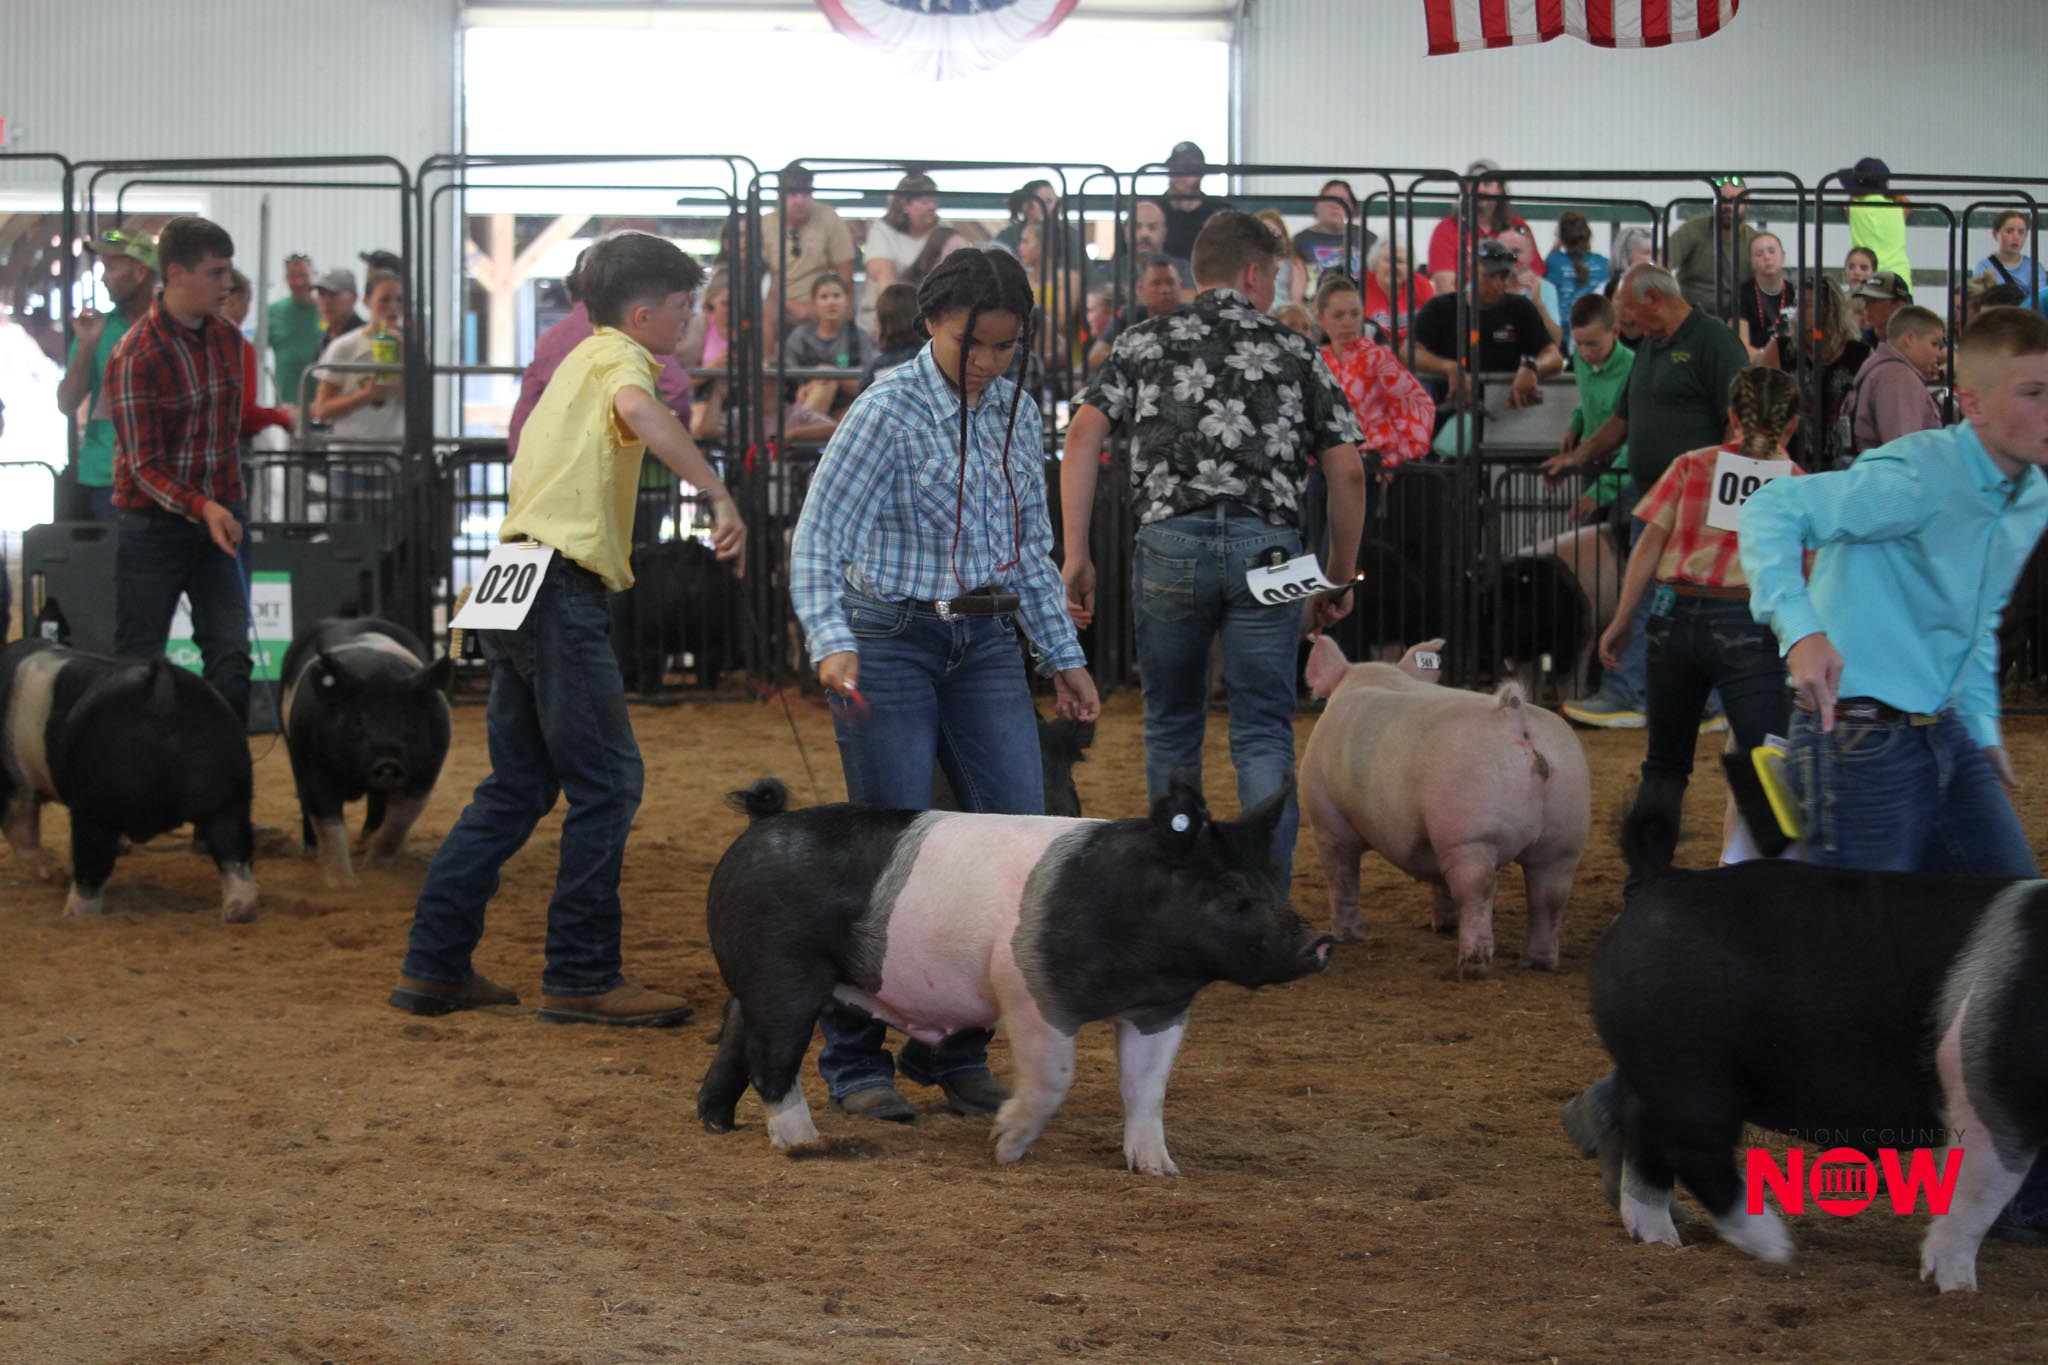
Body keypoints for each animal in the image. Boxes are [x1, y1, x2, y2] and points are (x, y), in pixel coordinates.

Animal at [0, 639, 257, 921]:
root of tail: (162, 690)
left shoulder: (14, 783)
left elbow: (20, 832)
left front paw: (58, 875)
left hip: (94, 806)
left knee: (90, 862)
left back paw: (73, 911)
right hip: (228, 793)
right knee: (233, 851)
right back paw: (238, 913)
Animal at [279, 618, 452, 886]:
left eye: (409, 721)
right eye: (358, 721)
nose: (388, 762)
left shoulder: (429, 768)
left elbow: (399, 820)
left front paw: (376, 868)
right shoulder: (309, 758)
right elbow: (327, 819)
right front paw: (342, 883)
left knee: (378, 802)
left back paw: (364, 843)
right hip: (291, 746)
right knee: (303, 798)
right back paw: (310, 851)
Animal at [697, 776, 1333, 1171]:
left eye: (1271, 880)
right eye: (1228, 889)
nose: (1320, 941)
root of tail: (760, 823)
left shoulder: (1161, 1011)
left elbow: (1147, 1088)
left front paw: (1159, 1170)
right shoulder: (1029, 989)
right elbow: (1053, 1077)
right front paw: (1004, 1146)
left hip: (757, 980)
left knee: (735, 1033)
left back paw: (715, 1124)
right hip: (784, 973)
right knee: (772, 1057)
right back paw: (805, 1144)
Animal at [1299, 635, 1589, 970]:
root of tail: (1515, 717)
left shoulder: (1327, 822)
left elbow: (1342, 878)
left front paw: (1348, 937)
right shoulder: (1430, 838)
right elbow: (1439, 881)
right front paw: (1443, 926)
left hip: (1468, 833)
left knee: (1478, 886)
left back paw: (1473, 963)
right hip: (1565, 834)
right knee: (1550, 894)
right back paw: (1537, 963)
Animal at [1567, 790, 2048, 1292]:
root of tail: (1665, 879)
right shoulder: (1996, 1088)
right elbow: (1978, 1193)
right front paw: (1958, 1290)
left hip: (1667, 1069)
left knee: (1643, 1129)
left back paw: (1662, 1240)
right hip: (1690, 1068)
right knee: (1695, 1150)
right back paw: (1778, 1247)